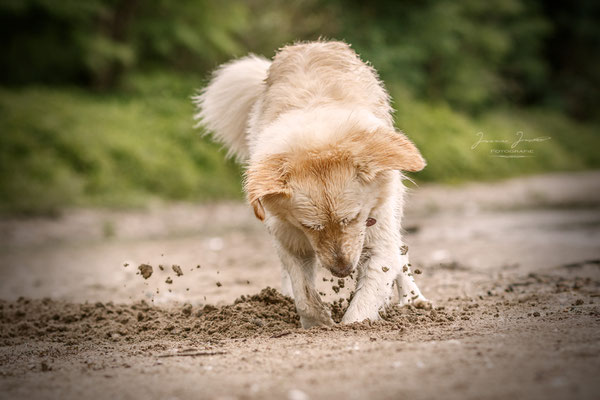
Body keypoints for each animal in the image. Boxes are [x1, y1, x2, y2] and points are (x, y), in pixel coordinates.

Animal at [195, 40, 428, 328]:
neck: (317, 136)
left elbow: (368, 295)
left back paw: (413, 299)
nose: (343, 271)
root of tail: (309, 43)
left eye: (352, 218)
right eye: (310, 226)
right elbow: (304, 293)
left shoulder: (377, 233)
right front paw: (318, 325)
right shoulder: (289, 235)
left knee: (400, 252)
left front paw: (352, 324)